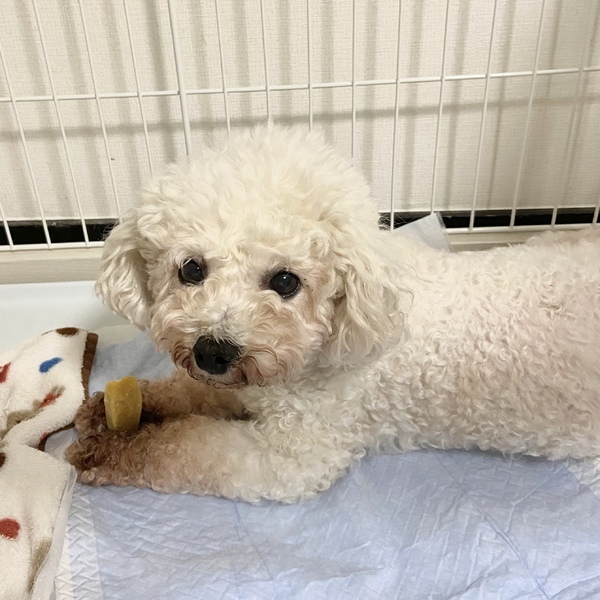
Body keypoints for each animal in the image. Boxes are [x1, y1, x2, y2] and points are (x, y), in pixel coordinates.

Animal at [67, 126, 600, 503]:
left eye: (286, 281)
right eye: (191, 269)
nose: (213, 351)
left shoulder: (295, 453)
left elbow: (185, 447)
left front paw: (108, 449)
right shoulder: (242, 384)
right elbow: (188, 392)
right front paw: (115, 406)